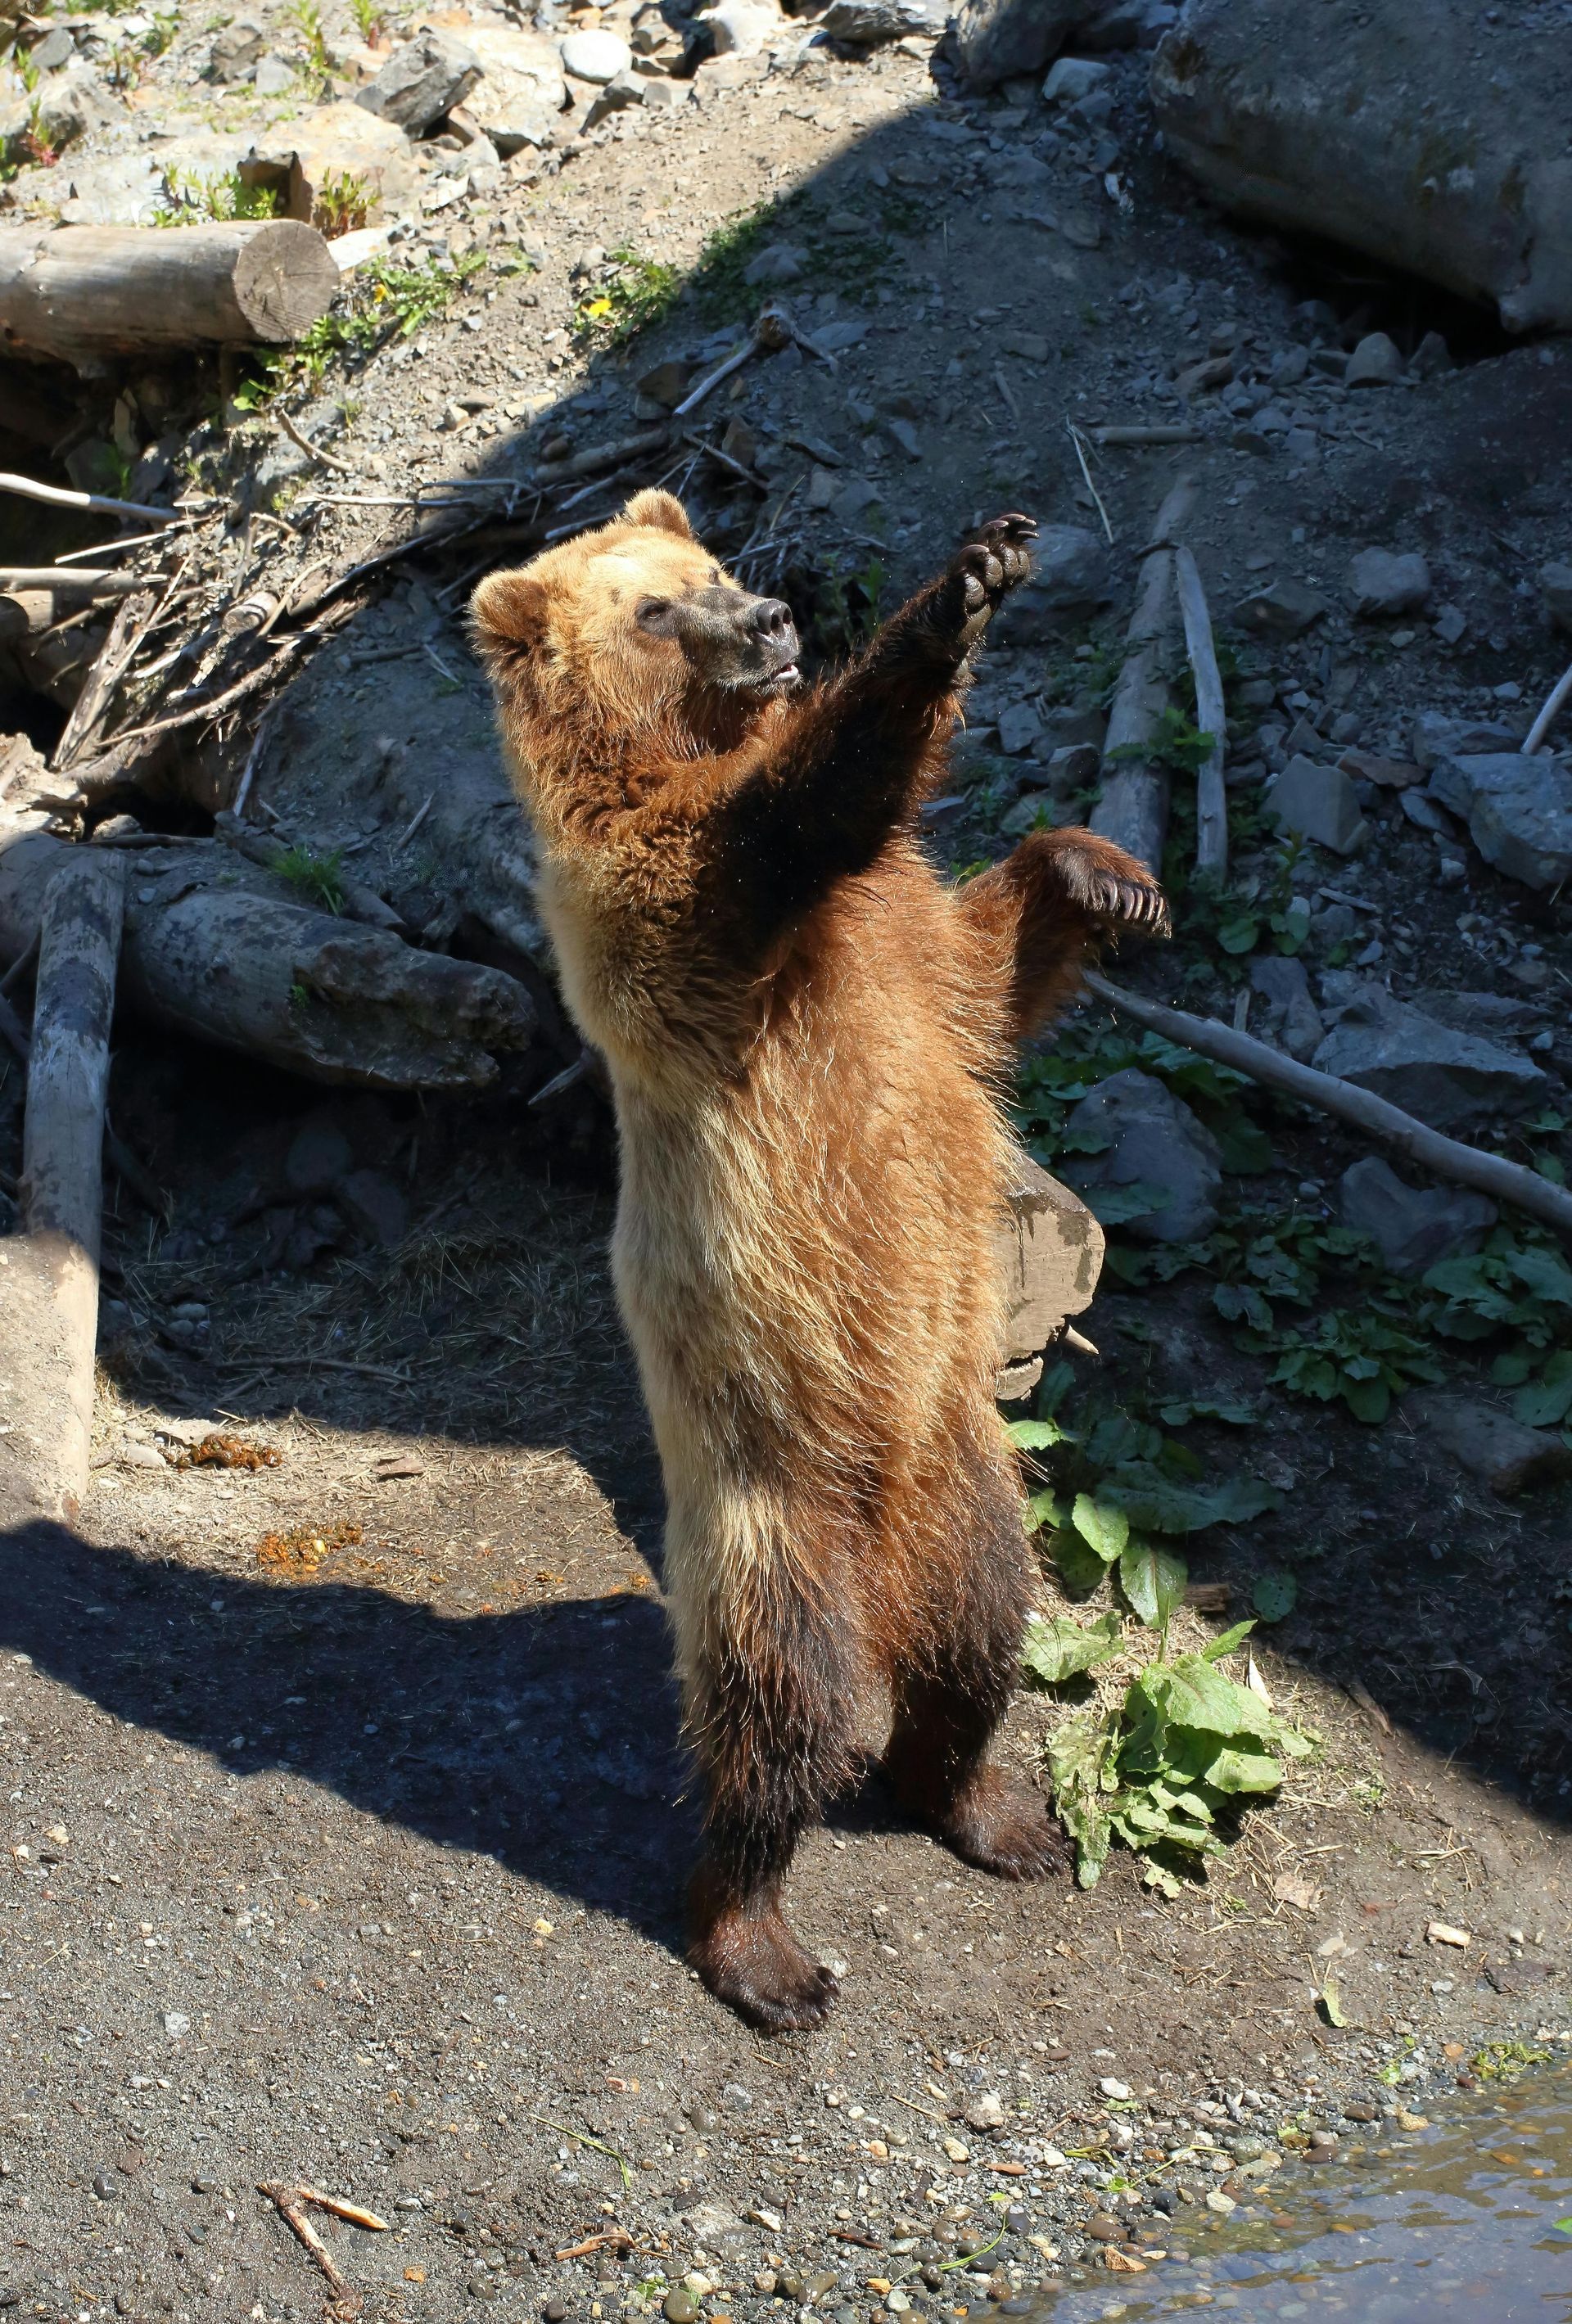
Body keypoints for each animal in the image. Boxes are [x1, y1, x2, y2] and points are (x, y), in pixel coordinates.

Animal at [471, 491, 1167, 2030]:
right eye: (653, 609)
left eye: (714, 566)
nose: (773, 617)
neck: (676, 750)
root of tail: (878, 1548)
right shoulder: (675, 913)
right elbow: (800, 809)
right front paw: (953, 596)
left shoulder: (902, 948)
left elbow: (982, 970)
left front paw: (1106, 875)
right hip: (768, 1496)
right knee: (778, 1712)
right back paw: (764, 1945)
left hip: (965, 1468)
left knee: (978, 1634)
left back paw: (990, 1807)